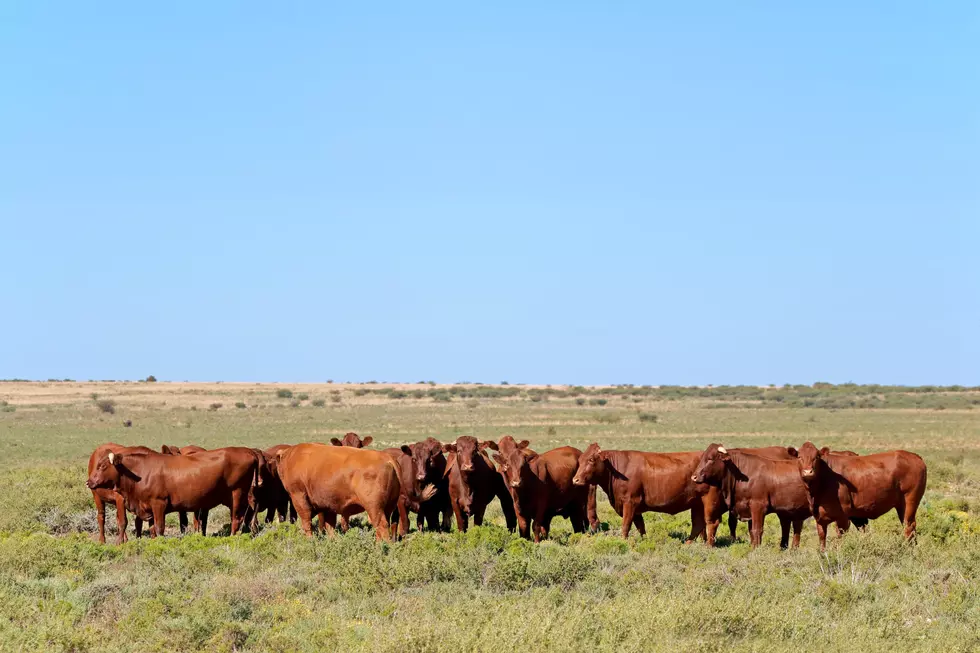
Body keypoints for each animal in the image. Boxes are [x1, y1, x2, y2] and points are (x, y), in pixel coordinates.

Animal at [87, 446, 262, 536]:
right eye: (98, 465)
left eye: (103, 466)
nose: (89, 482)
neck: (142, 472)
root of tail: (250, 452)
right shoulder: (148, 507)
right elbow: (152, 529)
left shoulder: (159, 504)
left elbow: (159, 528)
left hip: (237, 494)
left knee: (237, 519)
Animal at [572, 440, 724, 544]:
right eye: (580, 460)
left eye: (591, 460)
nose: (575, 480)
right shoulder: (636, 508)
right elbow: (641, 527)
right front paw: (644, 541)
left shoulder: (630, 502)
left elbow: (625, 525)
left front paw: (623, 542)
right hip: (697, 503)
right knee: (699, 524)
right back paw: (690, 543)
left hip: (709, 500)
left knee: (711, 522)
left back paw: (707, 546)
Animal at [788, 440, 928, 548]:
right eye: (799, 457)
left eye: (816, 457)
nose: (808, 472)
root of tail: (915, 456)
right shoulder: (819, 518)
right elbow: (822, 540)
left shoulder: (843, 517)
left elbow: (840, 537)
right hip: (901, 506)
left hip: (910, 501)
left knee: (909, 526)